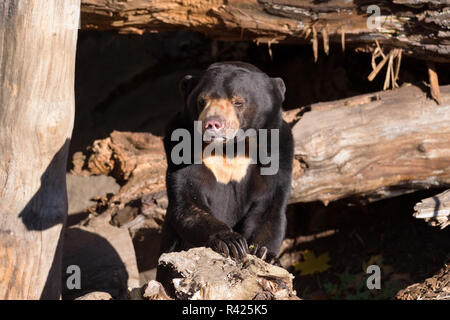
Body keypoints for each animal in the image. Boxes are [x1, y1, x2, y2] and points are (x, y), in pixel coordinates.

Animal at [156, 60, 294, 270]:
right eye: (202, 101)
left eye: (238, 102)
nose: (212, 124)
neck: (231, 148)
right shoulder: (182, 149)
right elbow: (188, 202)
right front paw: (232, 242)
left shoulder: (278, 152)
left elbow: (268, 207)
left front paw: (265, 254)